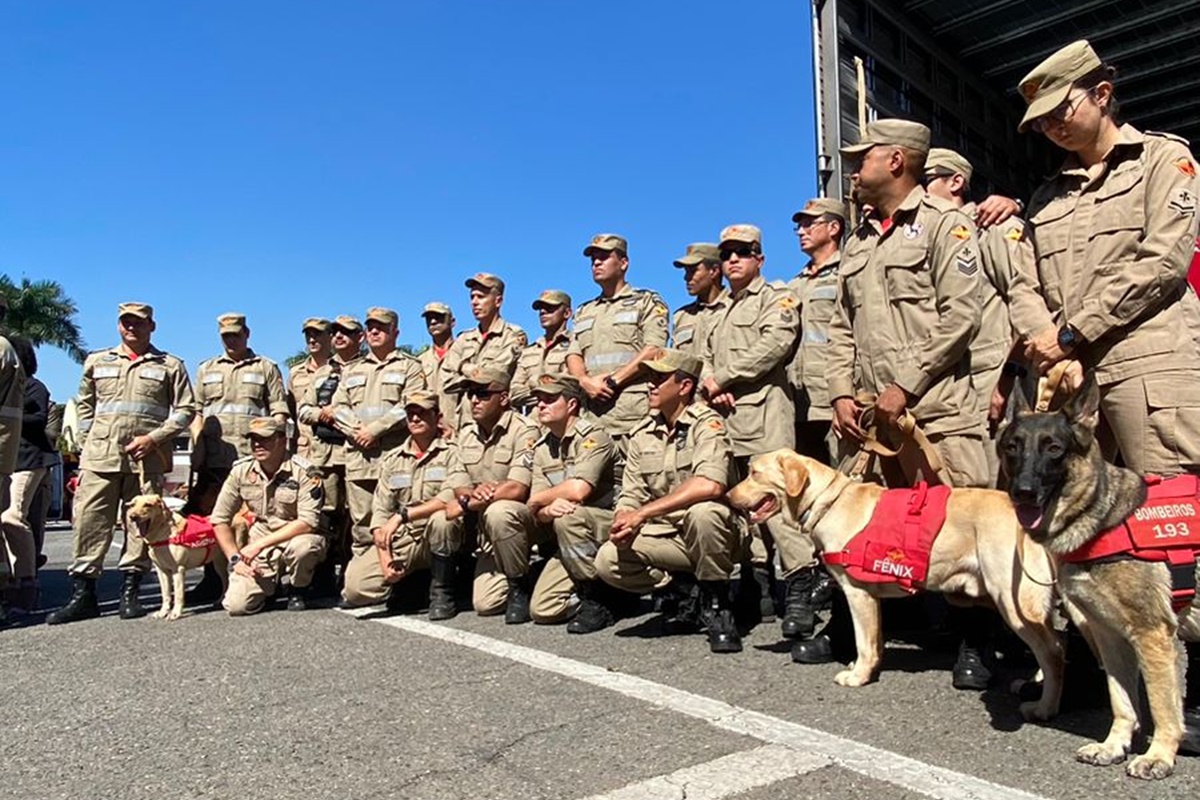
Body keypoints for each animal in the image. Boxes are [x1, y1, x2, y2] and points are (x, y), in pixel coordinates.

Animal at [724, 450, 1065, 719]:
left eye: (754, 473)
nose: (726, 496)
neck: (829, 502)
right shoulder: (870, 598)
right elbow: (874, 642)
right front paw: (864, 668)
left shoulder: (858, 593)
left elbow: (864, 642)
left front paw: (858, 676)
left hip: (1012, 600)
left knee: (1054, 652)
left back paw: (1044, 707)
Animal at [998, 376, 1195, 782]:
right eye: (1012, 447)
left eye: (1054, 449)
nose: (1022, 492)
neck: (1103, 517)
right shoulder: (1110, 635)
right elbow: (1121, 700)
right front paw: (1113, 746)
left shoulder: (1152, 636)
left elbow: (1162, 705)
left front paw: (1158, 755)